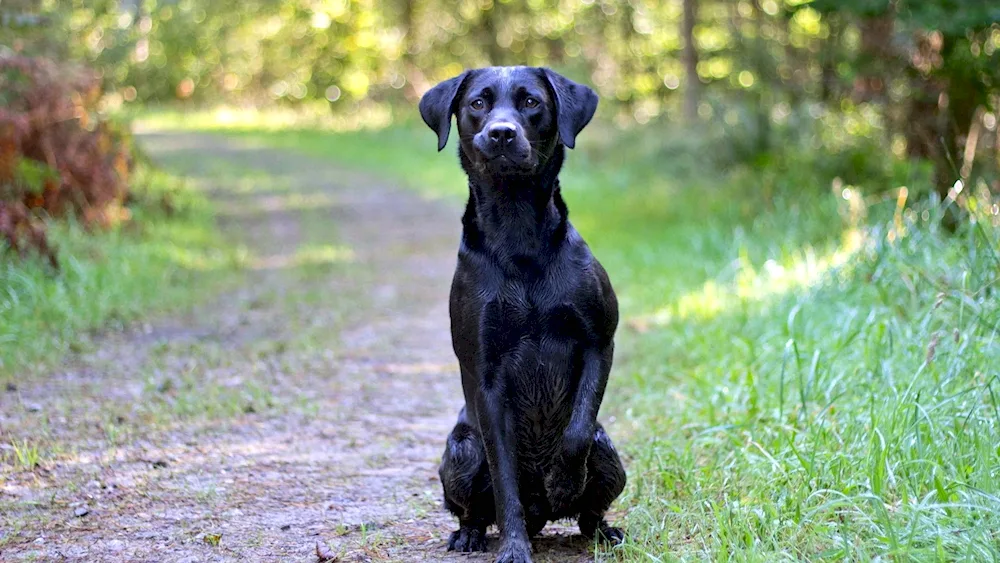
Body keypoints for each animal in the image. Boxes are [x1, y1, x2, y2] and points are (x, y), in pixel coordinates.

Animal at [420, 67, 624, 563]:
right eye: (477, 103)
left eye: (531, 101)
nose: (501, 132)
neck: (518, 234)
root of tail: (541, 517)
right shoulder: (486, 374)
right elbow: (504, 480)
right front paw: (513, 549)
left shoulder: (599, 340)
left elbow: (576, 434)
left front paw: (565, 481)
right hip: (460, 450)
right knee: (475, 508)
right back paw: (470, 535)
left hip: (611, 453)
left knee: (589, 508)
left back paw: (599, 529)